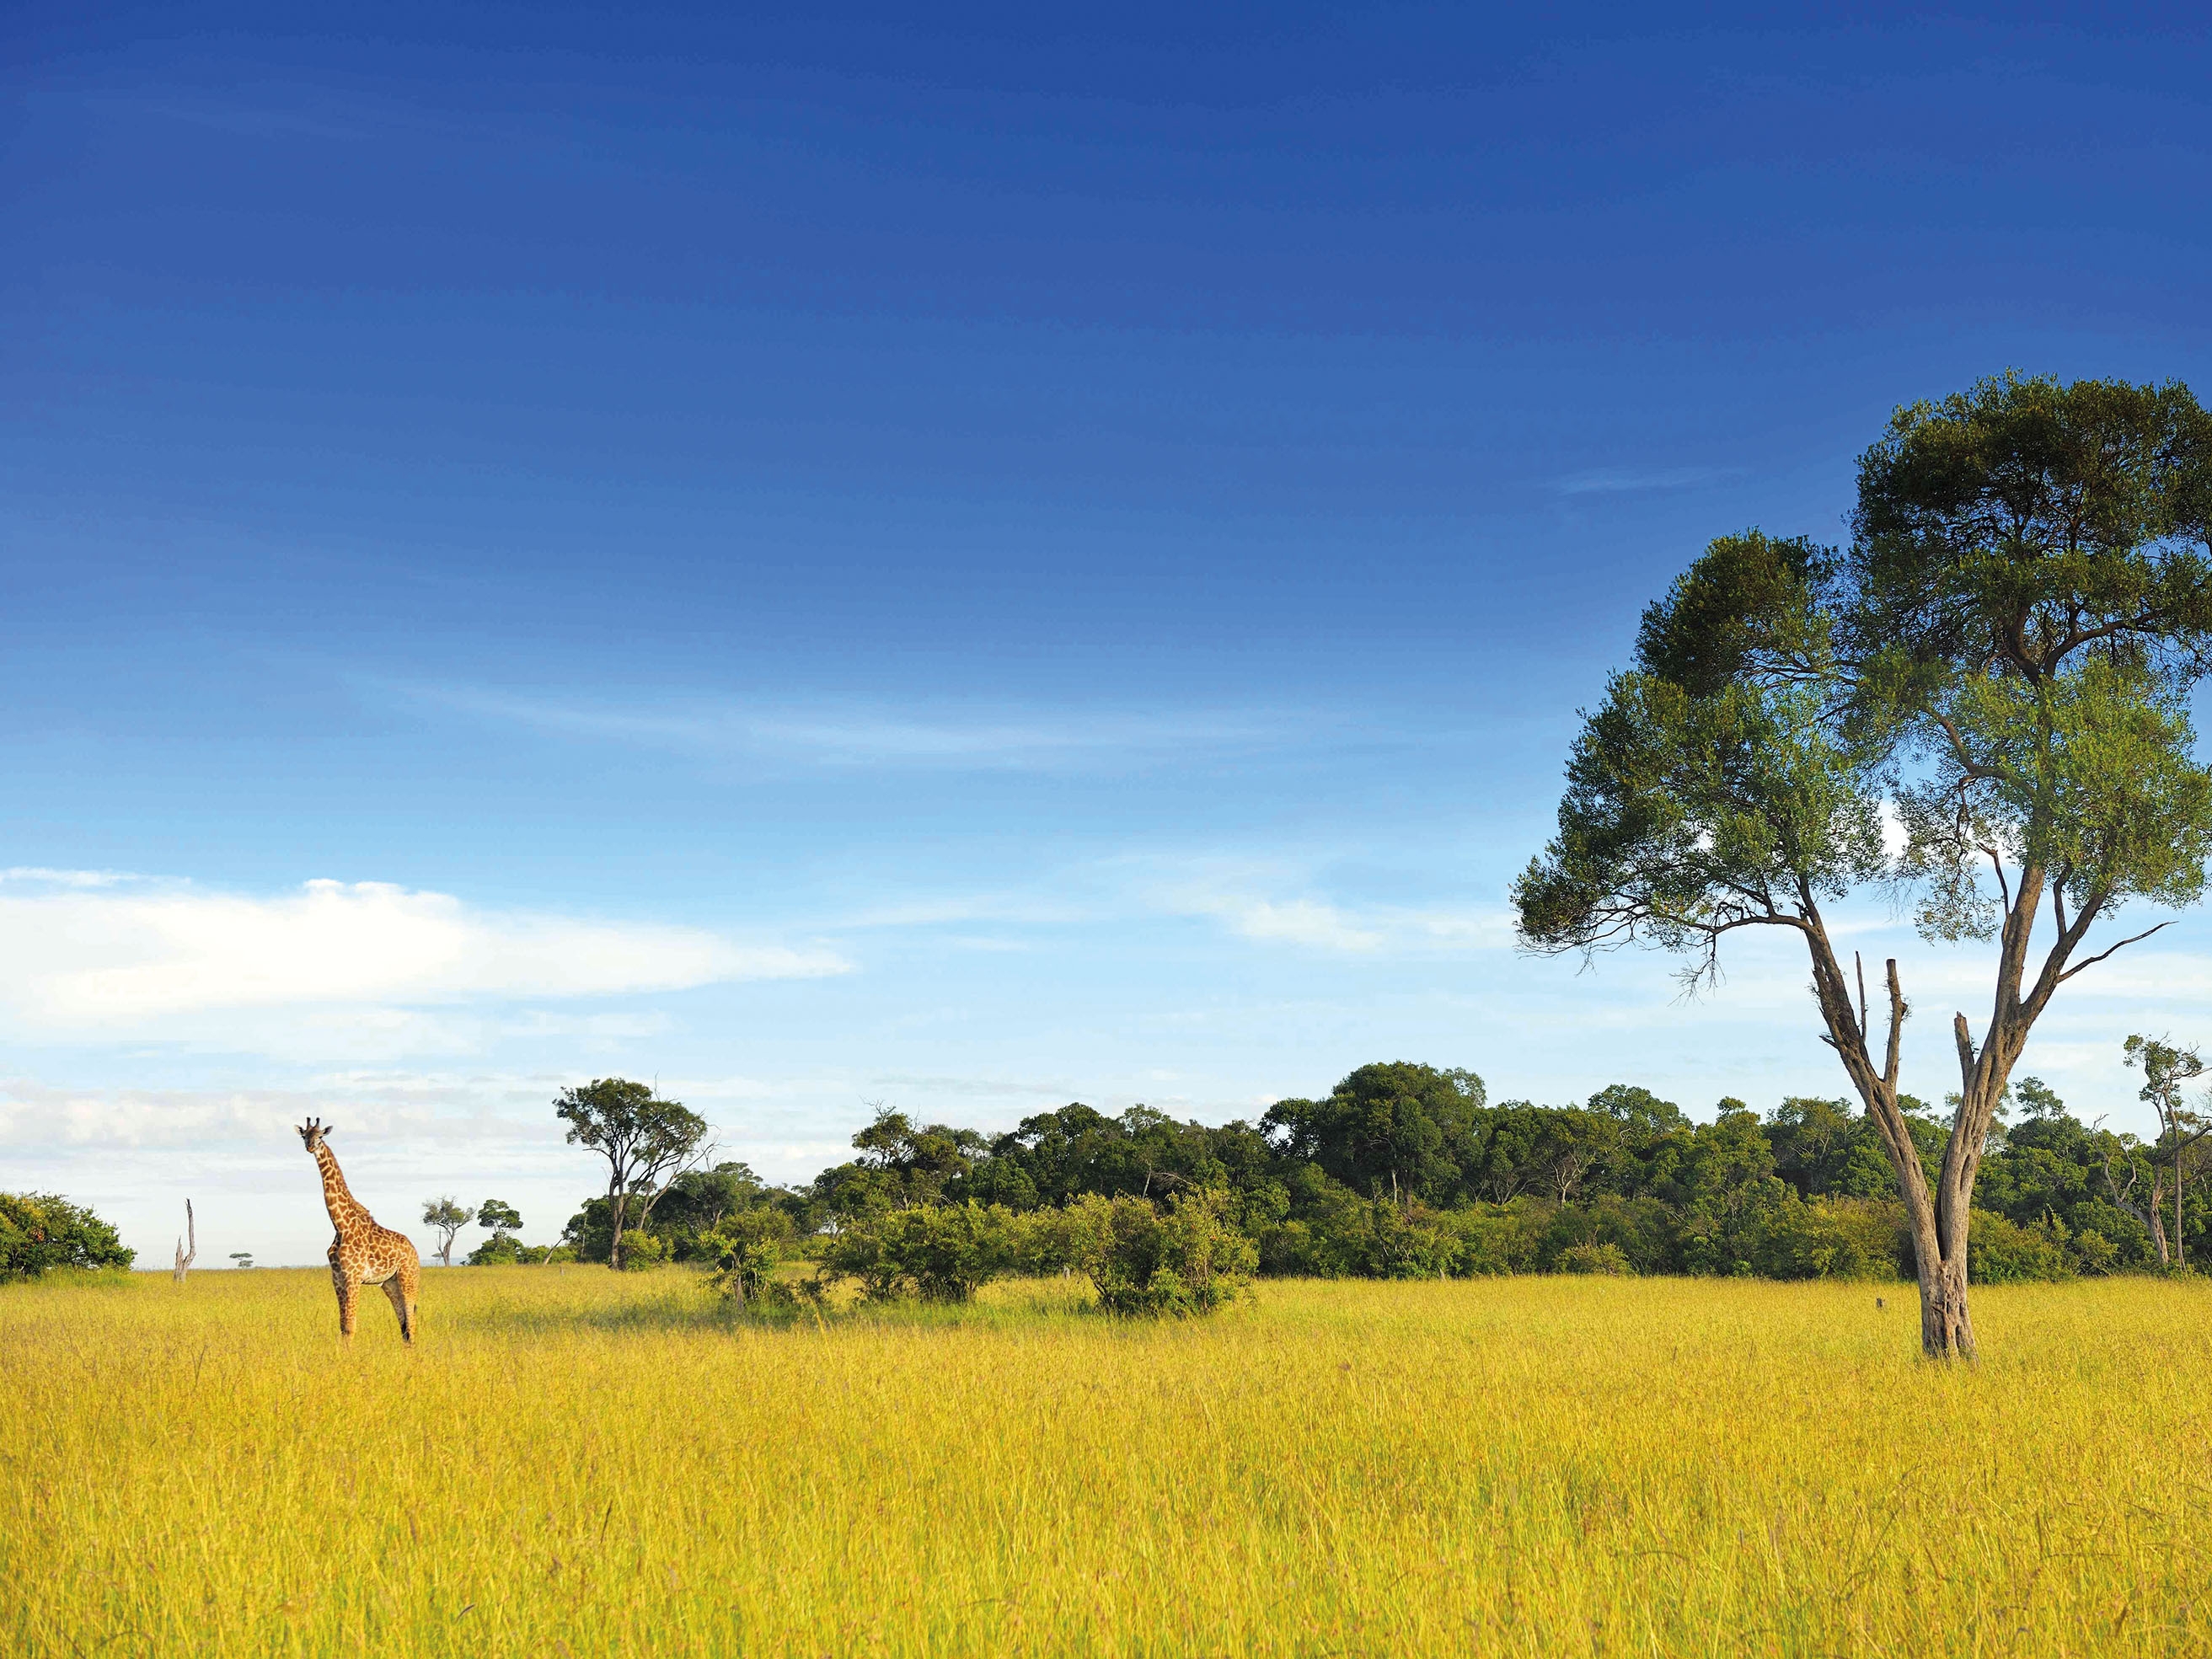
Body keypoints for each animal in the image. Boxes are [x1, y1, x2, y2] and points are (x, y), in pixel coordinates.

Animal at [296, 1117, 421, 1343]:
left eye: (320, 1137)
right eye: (304, 1136)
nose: (310, 1147)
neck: (340, 1224)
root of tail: (414, 1250)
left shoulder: (353, 1278)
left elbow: (350, 1326)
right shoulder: (337, 1279)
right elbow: (343, 1326)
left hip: (409, 1278)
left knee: (411, 1321)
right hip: (389, 1283)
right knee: (404, 1324)